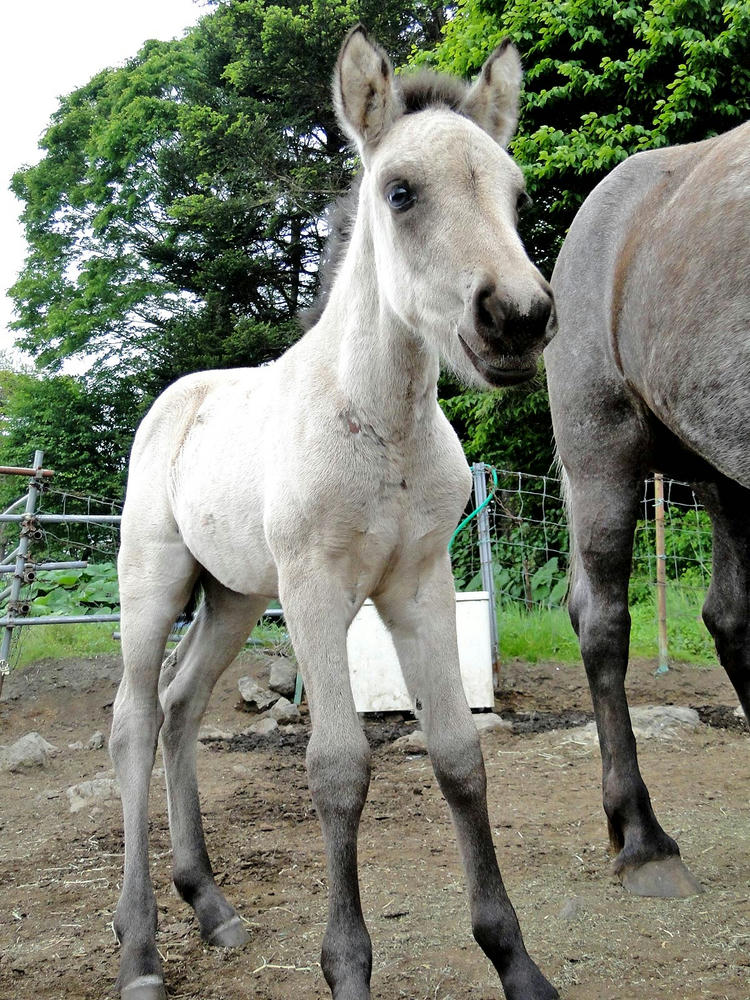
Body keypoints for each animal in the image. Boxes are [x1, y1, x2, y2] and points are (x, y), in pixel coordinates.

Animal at [111, 25, 560, 1000]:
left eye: (515, 194)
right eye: (400, 192)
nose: (517, 318)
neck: (379, 424)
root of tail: (175, 399)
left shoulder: (422, 586)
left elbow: (459, 756)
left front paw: (516, 960)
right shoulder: (316, 590)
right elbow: (339, 768)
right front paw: (346, 966)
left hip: (235, 596)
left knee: (180, 706)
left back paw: (210, 904)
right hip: (152, 584)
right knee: (133, 722)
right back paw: (140, 949)